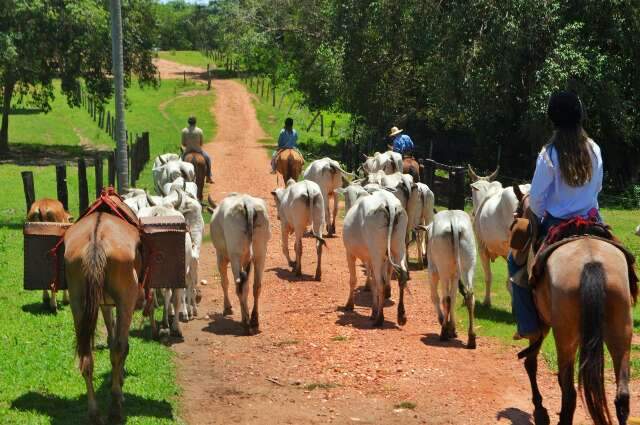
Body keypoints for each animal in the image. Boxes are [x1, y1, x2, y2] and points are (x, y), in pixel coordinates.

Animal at [63, 212, 144, 420]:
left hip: (77, 300)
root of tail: (96, 239)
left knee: (86, 356)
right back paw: (115, 406)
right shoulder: (118, 304)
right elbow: (119, 343)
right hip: (126, 298)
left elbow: (110, 335)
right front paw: (120, 383)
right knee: (120, 347)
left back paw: (94, 412)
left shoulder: (102, 303)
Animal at [210, 192, 270, 334]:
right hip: (260, 254)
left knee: (239, 287)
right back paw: (254, 320)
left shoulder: (221, 256)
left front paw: (228, 307)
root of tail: (248, 204)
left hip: (235, 257)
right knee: (256, 286)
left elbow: (224, 282)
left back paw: (246, 323)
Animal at [342, 188, 408, 324]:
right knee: (402, 276)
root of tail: (389, 202)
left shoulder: (350, 253)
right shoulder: (370, 259)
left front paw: (350, 304)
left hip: (377, 254)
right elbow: (373, 284)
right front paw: (373, 310)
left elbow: (353, 280)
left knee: (381, 282)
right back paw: (401, 315)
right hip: (399, 248)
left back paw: (380, 318)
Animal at [512, 189, 632, 424]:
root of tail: (591, 261)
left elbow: (531, 363)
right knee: (622, 396)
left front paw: (540, 409)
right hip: (621, 332)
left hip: (565, 338)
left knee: (569, 393)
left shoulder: (541, 325)